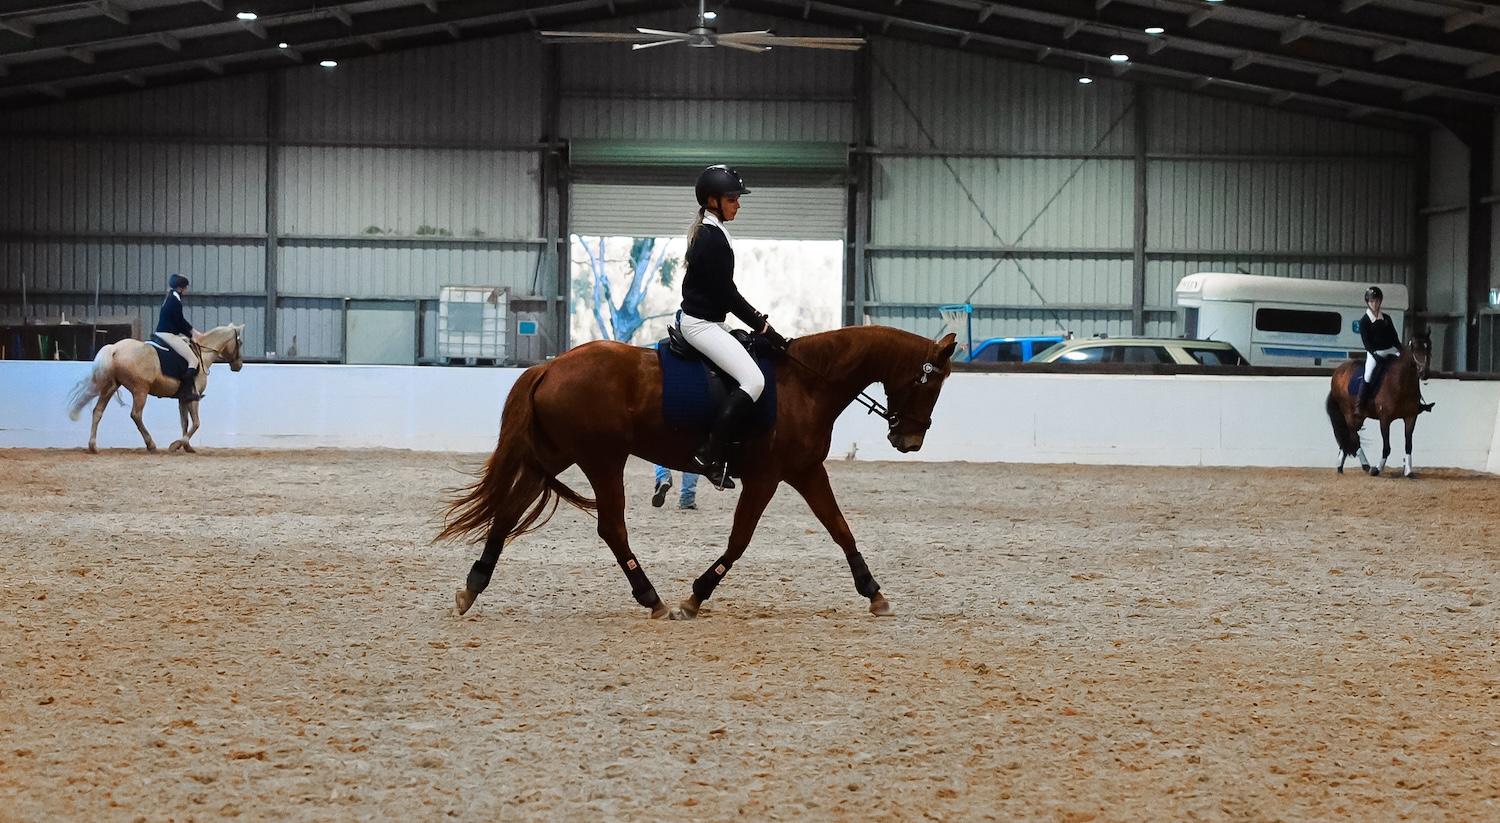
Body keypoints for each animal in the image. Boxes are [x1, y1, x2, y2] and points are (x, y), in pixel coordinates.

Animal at [67, 320, 243, 452]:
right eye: (239, 342)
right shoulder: (194, 397)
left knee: (98, 411)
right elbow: (197, 423)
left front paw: (186, 446)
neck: (201, 357)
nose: (239, 365)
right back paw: (151, 444)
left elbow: (185, 422)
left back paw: (93, 446)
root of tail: (115, 348)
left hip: (111, 386)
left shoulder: (183, 399)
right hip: (140, 390)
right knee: (136, 415)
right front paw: (177, 444)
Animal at [438, 323, 960, 620]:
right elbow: (741, 539)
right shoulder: (767, 477)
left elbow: (840, 528)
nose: (909, 441)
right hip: (602, 458)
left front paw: (873, 592)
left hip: (552, 456)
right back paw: (652, 598)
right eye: (931, 385)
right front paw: (696, 595)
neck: (808, 382)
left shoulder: (806, 470)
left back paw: (473, 587)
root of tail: (550, 367)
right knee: (611, 528)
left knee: (508, 513)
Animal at [1332, 329, 1434, 476]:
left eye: (1429, 347)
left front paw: (1408, 471)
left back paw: (1340, 466)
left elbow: (1408, 445)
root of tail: (1339, 371)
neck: (1401, 383)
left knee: (1350, 436)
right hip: (1348, 413)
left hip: (1359, 417)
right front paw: (1377, 468)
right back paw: (1366, 466)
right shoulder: (1385, 419)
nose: (1423, 373)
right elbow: (1387, 447)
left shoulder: (1411, 417)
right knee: (1354, 437)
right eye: (1414, 348)